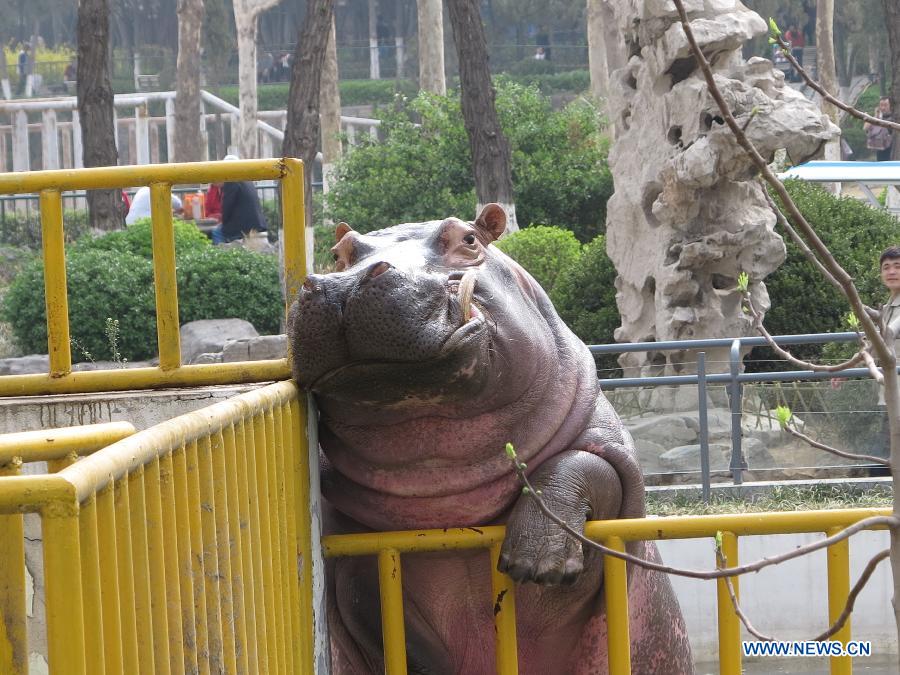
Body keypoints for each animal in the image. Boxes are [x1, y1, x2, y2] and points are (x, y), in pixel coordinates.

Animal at [288, 204, 692, 674]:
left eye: (468, 240)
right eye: (339, 253)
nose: (344, 284)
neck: (443, 483)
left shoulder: (615, 470)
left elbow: (588, 466)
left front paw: (536, 560)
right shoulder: (357, 559)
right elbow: (386, 628)